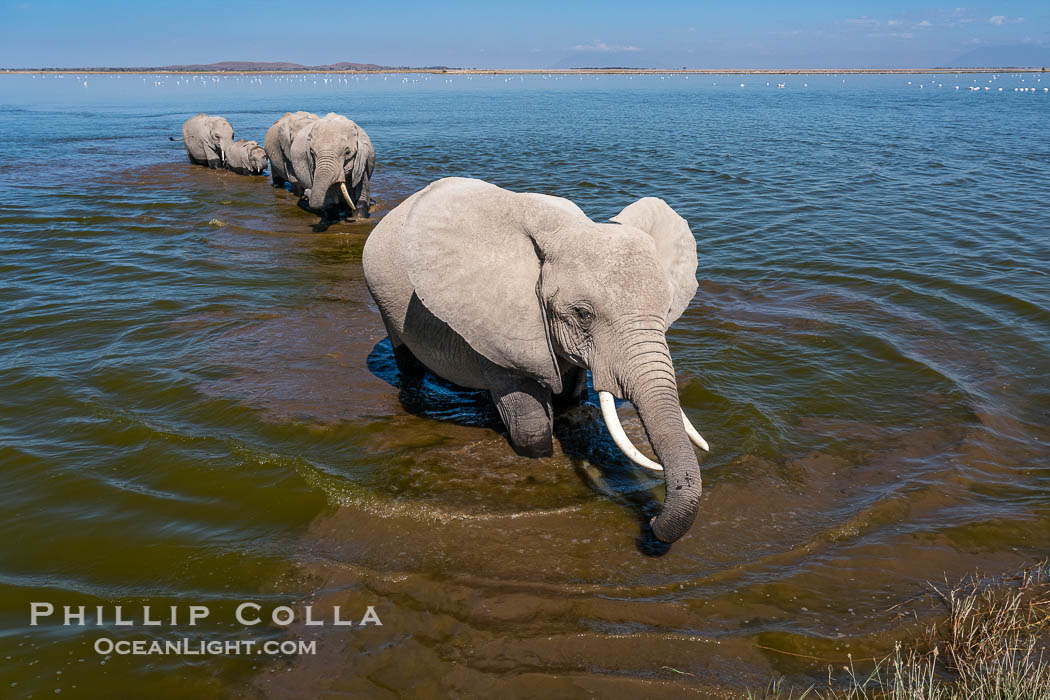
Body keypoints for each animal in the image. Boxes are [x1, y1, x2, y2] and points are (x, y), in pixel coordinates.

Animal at [362, 177, 709, 544]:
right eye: (583, 314)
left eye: (667, 308)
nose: (653, 521)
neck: (565, 230)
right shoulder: (501, 321)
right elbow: (531, 425)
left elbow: (570, 400)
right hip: (384, 301)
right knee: (408, 363)